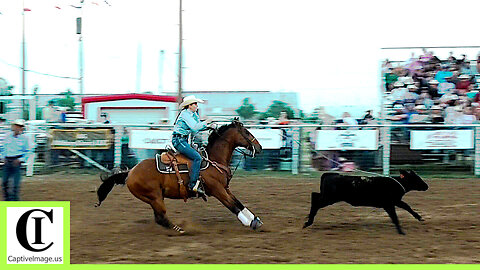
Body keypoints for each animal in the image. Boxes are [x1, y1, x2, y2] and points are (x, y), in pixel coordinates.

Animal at [94, 119, 264, 233]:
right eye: (247, 132)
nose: (259, 147)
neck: (213, 159)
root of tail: (130, 172)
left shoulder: (225, 188)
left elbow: (239, 203)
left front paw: (256, 220)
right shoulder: (217, 190)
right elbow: (233, 206)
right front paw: (250, 223)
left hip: (154, 198)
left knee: (159, 217)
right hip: (154, 197)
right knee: (161, 217)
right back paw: (179, 229)